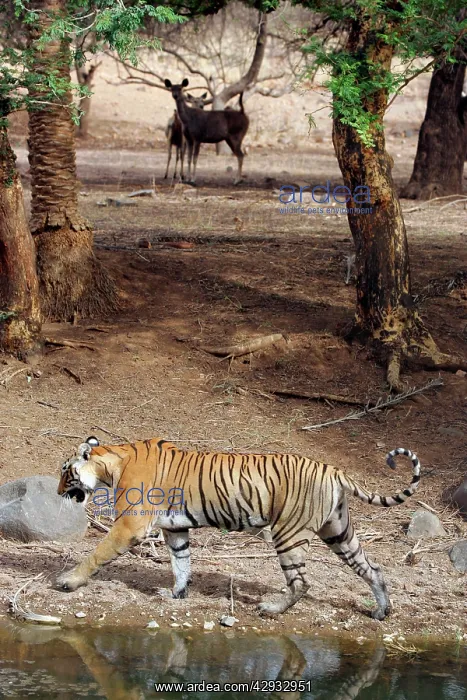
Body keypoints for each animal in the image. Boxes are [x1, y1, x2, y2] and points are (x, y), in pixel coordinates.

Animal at [56, 437, 420, 619]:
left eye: (65, 471)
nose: (59, 492)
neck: (111, 463)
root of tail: (334, 469)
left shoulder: (130, 524)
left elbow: (96, 554)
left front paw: (68, 581)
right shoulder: (175, 528)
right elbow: (181, 562)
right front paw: (176, 593)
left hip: (288, 533)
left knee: (302, 582)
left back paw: (271, 609)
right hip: (338, 531)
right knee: (371, 568)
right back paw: (382, 610)